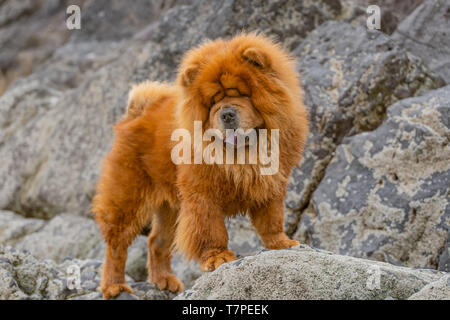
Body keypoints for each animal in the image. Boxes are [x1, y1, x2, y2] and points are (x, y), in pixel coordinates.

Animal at [92, 33, 310, 298]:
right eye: (214, 101)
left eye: (243, 95)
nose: (226, 114)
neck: (242, 154)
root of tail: (136, 113)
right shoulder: (202, 194)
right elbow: (211, 230)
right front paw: (218, 258)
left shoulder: (272, 184)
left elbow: (272, 219)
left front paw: (282, 243)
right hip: (127, 197)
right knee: (116, 245)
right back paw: (114, 286)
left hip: (170, 209)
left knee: (156, 242)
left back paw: (164, 280)